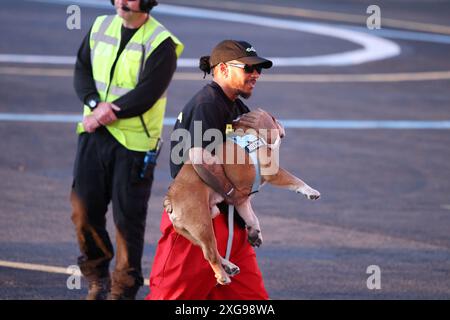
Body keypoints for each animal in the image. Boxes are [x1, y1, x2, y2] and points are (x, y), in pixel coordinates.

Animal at [163, 110, 318, 284]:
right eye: (272, 118)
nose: (280, 122)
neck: (249, 133)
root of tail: (170, 198)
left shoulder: (242, 200)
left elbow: (251, 217)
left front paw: (255, 233)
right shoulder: (273, 172)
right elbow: (295, 180)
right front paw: (310, 191)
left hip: (196, 228)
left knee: (209, 249)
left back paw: (229, 266)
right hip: (202, 225)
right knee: (209, 253)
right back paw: (222, 276)